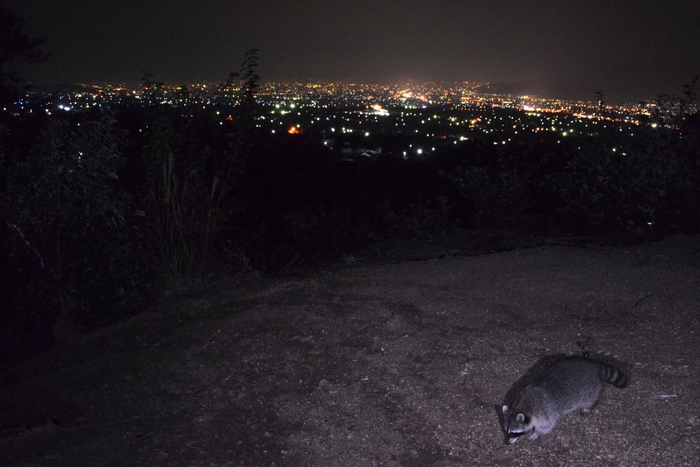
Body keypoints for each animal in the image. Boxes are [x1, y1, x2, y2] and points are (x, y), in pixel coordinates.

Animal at [500, 358, 628, 446]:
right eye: (506, 431)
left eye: (514, 433)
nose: (507, 443)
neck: (520, 405)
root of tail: (592, 364)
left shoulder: (545, 411)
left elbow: (546, 426)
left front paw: (536, 434)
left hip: (590, 388)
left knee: (590, 398)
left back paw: (588, 406)